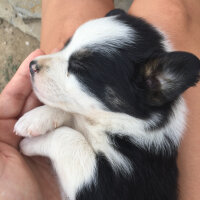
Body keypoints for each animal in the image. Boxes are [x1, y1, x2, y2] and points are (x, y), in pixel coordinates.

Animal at [14, 9, 200, 200]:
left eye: (80, 68)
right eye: (66, 45)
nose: (31, 65)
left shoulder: (107, 184)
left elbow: (68, 137)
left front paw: (30, 144)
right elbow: (72, 115)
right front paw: (35, 119)